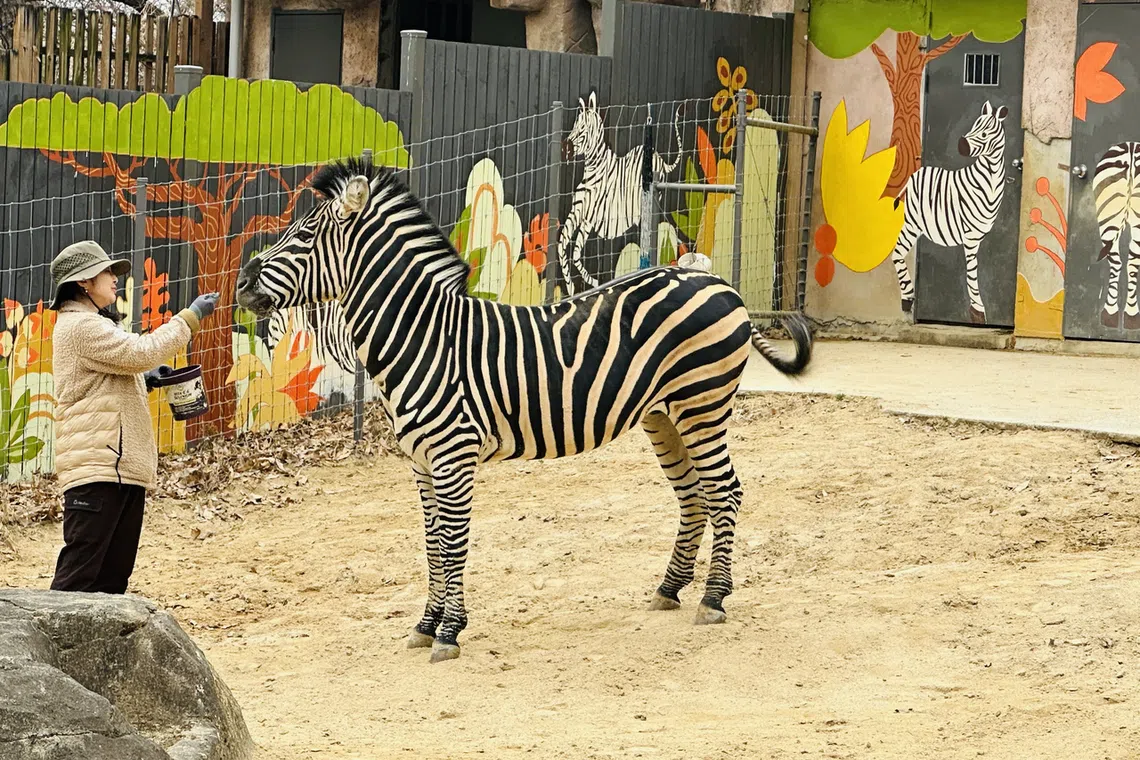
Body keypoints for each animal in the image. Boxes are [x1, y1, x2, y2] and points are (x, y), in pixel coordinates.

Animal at [235, 157, 813, 663]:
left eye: (305, 235)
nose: (240, 284)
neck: (423, 336)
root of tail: (719, 283)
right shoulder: (421, 462)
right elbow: (431, 544)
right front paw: (426, 624)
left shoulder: (453, 455)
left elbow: (453, 543)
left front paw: (449, 631)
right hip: (663, 415)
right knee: (693, 495)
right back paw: (670, 589)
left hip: (702, 404)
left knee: (725, 492)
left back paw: (714, 598)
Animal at [559, 91, 683, 295]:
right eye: (575, 126)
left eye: (584, 128)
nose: (565, 149)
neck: (593, 169)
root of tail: (659, 158)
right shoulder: (581, 215)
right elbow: (567, 247)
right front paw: (577, 286)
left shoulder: (590, 216)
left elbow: (569, 248)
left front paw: (582, 284)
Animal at [887, 100, 1008, 324]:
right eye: (973, 126)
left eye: (984, 133)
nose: (961, 144)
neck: (990, 180)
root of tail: (916, 173)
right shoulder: (970, 235)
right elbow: (971, 271)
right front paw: (978, 310)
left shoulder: (978, 236)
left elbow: (973, 269)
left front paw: (977, 310)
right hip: (912, 223)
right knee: (897, 253)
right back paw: (907, 298)